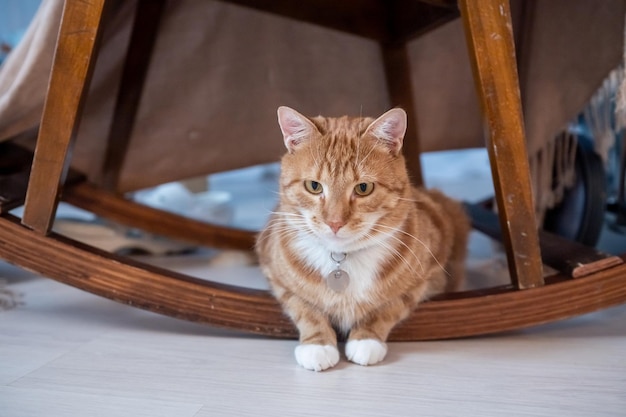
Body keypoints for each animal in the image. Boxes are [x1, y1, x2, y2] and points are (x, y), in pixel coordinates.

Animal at [255, 105, 468, 370]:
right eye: (314, 186)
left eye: (363, 188)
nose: (334, 222)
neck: (342, 260)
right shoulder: (274, 272)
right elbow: (304, 307)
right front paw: (318, 344)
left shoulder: (427, 277)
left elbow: (391, 306)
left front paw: (366, 339)